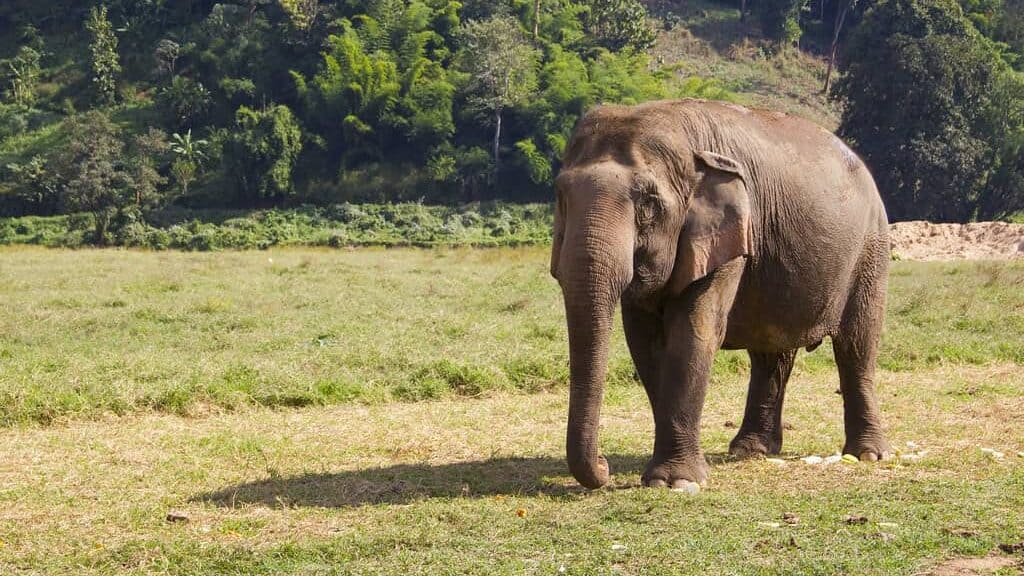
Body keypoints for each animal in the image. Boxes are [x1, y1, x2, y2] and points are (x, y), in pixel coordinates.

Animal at [550, 99, 891, 489]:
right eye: (560, 197)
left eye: (649, 204)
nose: (604, 466)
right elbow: (645, 343)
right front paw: (665, 477)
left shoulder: (728, 239)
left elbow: (693, 333)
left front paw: (675, 482)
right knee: (771, 355)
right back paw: (751, 450)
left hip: (871, 249)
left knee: (856, 345)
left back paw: (867, 455)